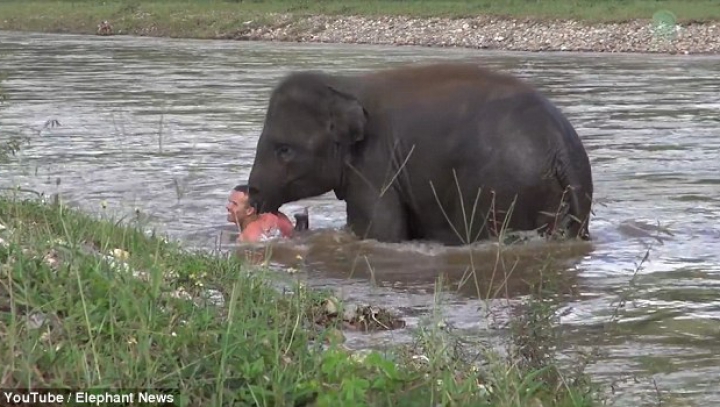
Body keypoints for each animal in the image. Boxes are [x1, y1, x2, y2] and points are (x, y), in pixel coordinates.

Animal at [245, 62, 592, 247]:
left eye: (284, 149)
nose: (250, 195)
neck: (343, 84)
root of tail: (560, 145)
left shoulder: (375, 166)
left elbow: (381, 232)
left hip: (502, 189)